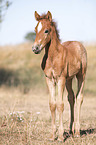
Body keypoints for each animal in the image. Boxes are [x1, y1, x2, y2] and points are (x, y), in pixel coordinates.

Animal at [32, 11, 87, 142]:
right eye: (35, 29)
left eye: (46, 30)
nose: (35, 48)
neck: (53, 57)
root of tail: (79, 44)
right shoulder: (49, 79)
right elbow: (52, 104)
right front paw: (52, 135)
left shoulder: (60, 78)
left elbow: (60, 104)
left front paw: (61, 136)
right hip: (69, 79)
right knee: (71, 98)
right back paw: (71, 130)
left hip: (81, 75)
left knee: (79, 97)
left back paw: (77, 132)